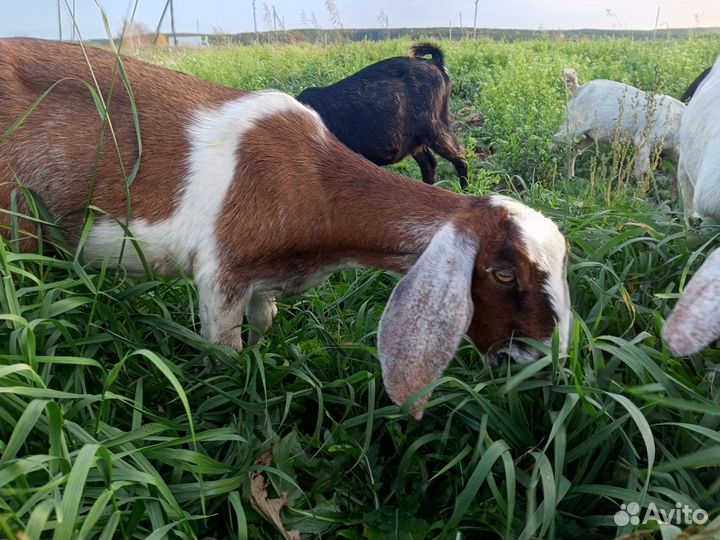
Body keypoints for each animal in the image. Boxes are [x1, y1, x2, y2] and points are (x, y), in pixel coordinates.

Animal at [553, 68, 685, 180]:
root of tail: (578, 89)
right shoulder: (643, 141)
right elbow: (642, 172)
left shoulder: (672, 148)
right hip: (575, 125)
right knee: (555, 139)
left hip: (590, 136)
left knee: (575, 149)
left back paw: (570, 177)